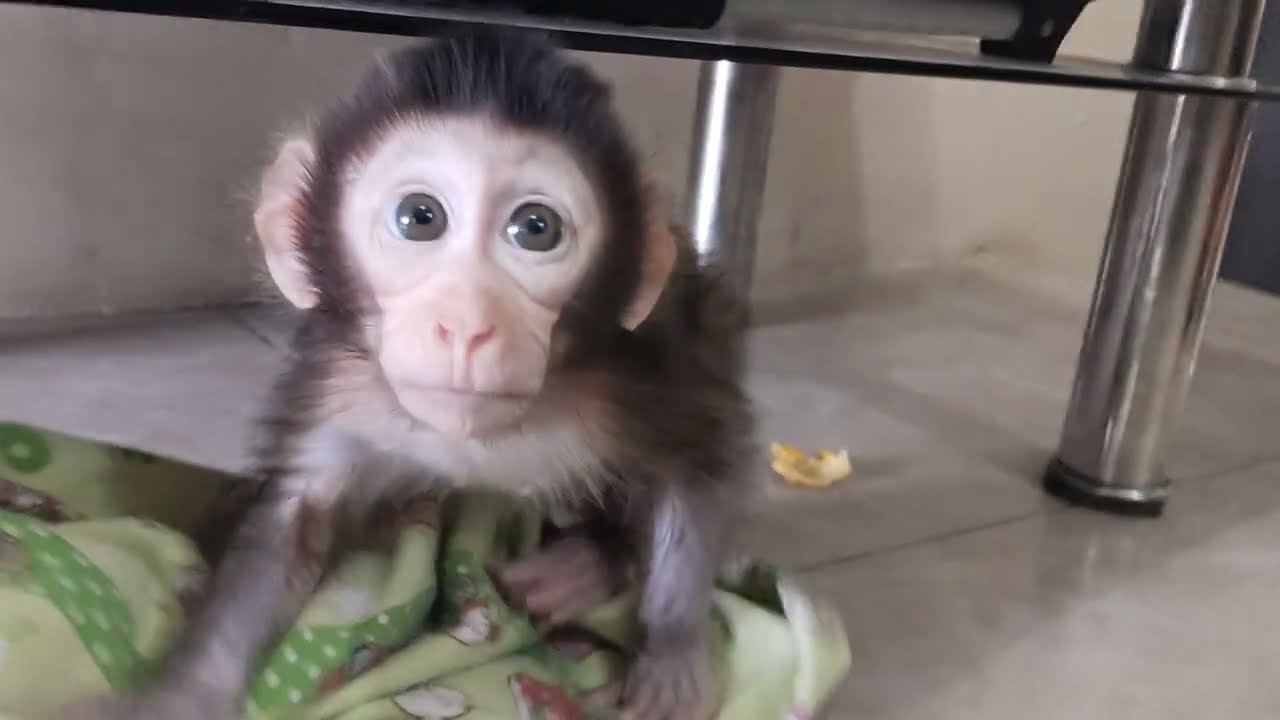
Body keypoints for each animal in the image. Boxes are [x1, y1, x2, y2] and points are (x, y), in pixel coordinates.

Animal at [58, 28, 755, 720]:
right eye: (420, 217)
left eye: (536, 228)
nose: (468, 325)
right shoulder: (339, 385)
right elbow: (293, 526)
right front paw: (182, 694)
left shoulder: (632, 369)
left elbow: (697, 467)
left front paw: (673, 655)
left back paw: (585, 562)